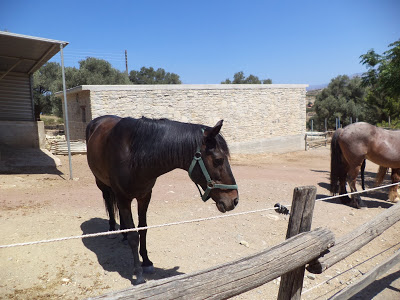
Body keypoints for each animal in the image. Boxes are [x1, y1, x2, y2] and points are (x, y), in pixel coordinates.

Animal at [86, 115, 239, 284]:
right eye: (218, 160)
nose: (234, 200)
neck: (132, 155)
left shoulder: (144, 196)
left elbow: (143, 229)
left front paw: (146, 262)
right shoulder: (124, 198)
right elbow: (134, 235)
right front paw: (138, 274)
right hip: (102, 184)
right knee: (108, 201)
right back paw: (113, 229)